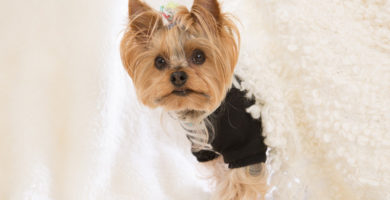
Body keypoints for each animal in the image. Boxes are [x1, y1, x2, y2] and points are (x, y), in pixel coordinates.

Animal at [122, 0, 268, 199]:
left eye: (199, 56)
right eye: (159, 61)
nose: (177, 76)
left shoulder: (246, 145)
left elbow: (239, 185)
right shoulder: (206, 150)